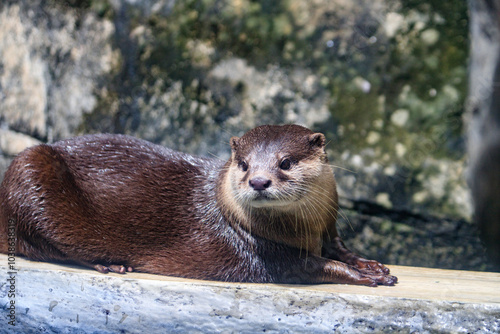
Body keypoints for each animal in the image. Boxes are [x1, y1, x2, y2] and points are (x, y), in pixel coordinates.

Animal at [0, 124, 398, 286]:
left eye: (285, 162)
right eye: (244, 164)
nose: (258, 181)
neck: (304, 231)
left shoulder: (328, 224)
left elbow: (338, 249)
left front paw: (369, 264)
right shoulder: (261, 254)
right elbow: (310, 265)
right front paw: (365, 276)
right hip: (30, 171)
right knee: (41, 246)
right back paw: (108, 263)